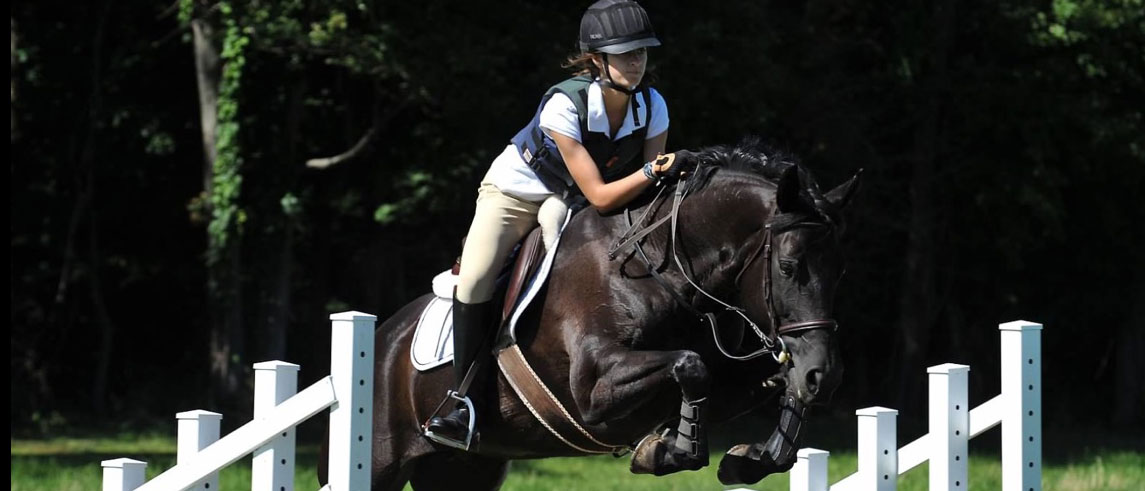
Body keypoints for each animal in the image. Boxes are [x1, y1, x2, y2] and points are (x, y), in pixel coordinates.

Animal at [320, 138, 861, 489]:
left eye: (840, 272)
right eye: (789, 267)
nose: (825, 375)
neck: (658, 267)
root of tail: (382, 339)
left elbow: (760, 383)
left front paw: (747, 460)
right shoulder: (593, 390)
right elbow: (691, 365)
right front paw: (668, 450)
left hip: (463, 471)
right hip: (379, 463)